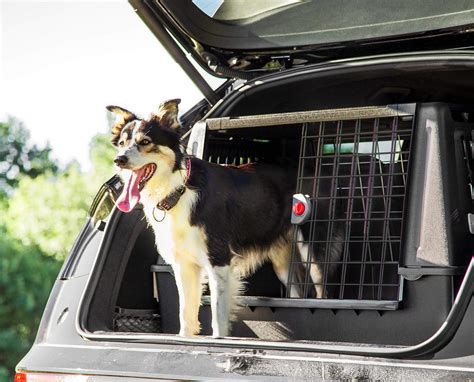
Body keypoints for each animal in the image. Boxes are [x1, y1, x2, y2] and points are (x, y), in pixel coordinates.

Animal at [107, 100, 340, 336]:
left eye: (145, 142)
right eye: (122, 144)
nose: (119, 160)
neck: (179, 189)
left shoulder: (219, 260)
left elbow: (218, 315)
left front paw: (218, 339)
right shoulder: (184, 266)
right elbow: (185, 312)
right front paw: (184, 338)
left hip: (314, 252)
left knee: (322, 294)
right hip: (282, 262)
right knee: (296, 293)